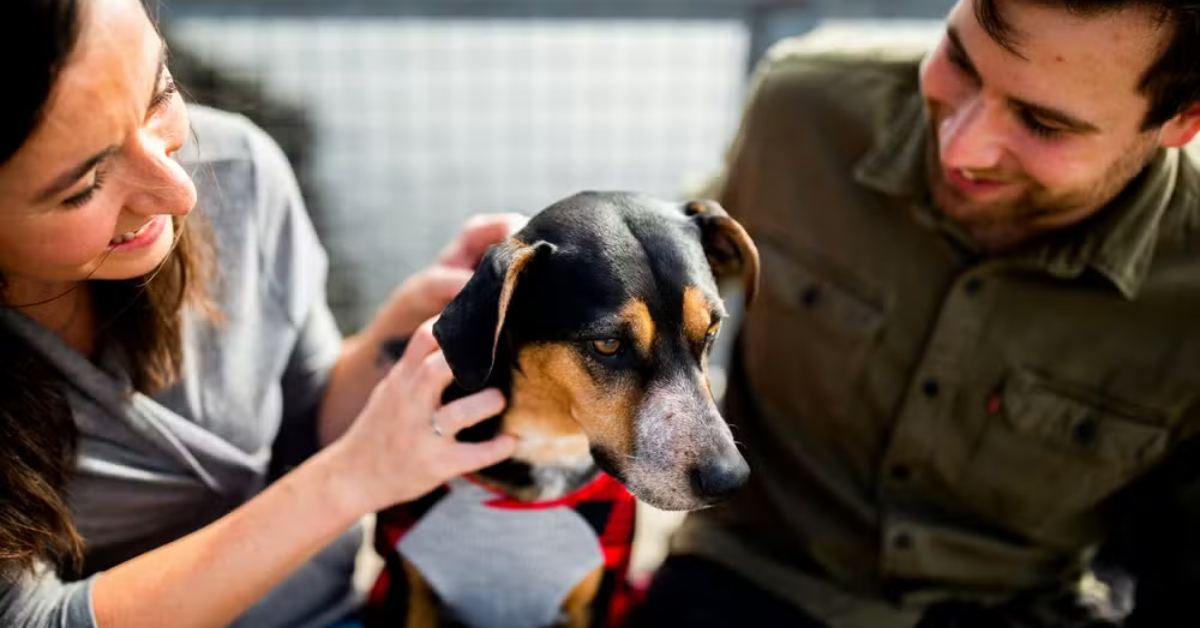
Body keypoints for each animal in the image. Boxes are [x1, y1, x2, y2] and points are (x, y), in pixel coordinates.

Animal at [364, 192, 758, 628]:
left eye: (712, 331)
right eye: (607, 344)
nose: (729, 479)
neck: (550, 444)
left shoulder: (597, 598)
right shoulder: (410, 593)